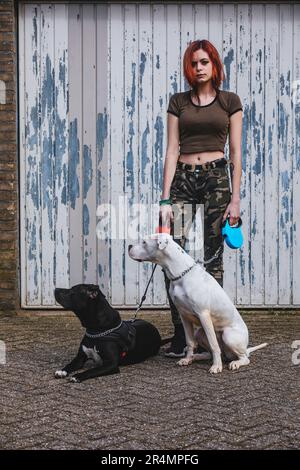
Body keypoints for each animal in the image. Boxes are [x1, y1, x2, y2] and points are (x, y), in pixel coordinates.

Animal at [129, 234, 268, 374]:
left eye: (144, 242)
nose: (129, 246)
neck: (180, 274)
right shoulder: (183, 316)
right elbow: (190, 342)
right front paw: (187, 359)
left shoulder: (203, 314)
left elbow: (214, 344)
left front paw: (216, 366)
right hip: (200, 333)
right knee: (212, 352)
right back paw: (196, 357)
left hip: (229, 336)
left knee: (244, 357)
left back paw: (235, 363)